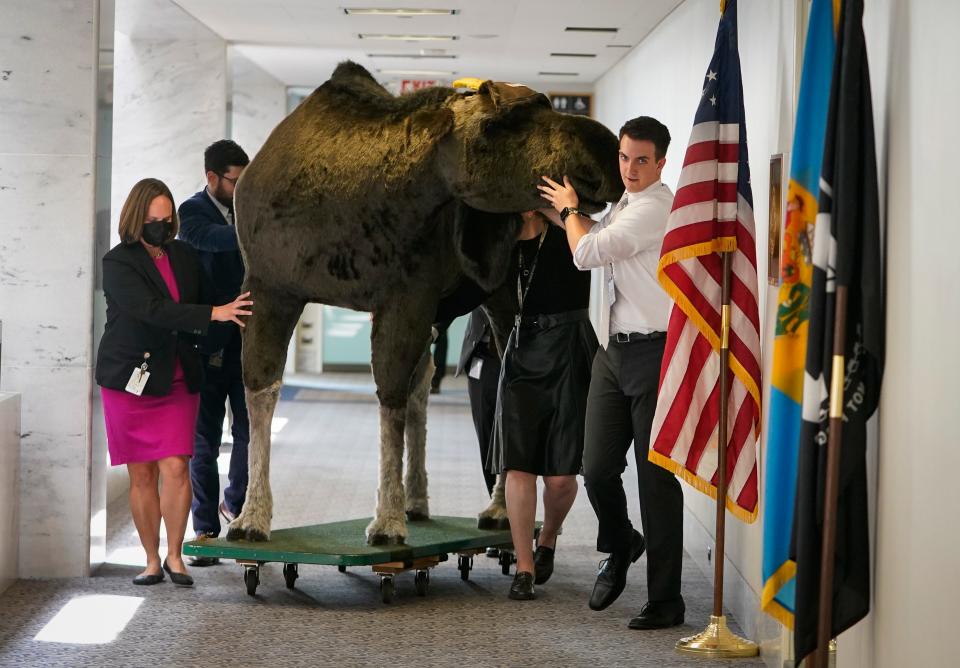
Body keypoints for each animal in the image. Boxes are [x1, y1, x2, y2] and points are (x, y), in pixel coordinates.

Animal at [231, 60, 624, 544]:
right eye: (494, 124)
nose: (605, 151)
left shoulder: (407, 296)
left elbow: (390, 395)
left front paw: (385, 520)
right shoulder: (270, 287)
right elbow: (262, 391)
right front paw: (251, 517)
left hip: (498, 299)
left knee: (492, 379)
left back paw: (494, 509)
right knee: (429, 382)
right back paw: (418, 500)